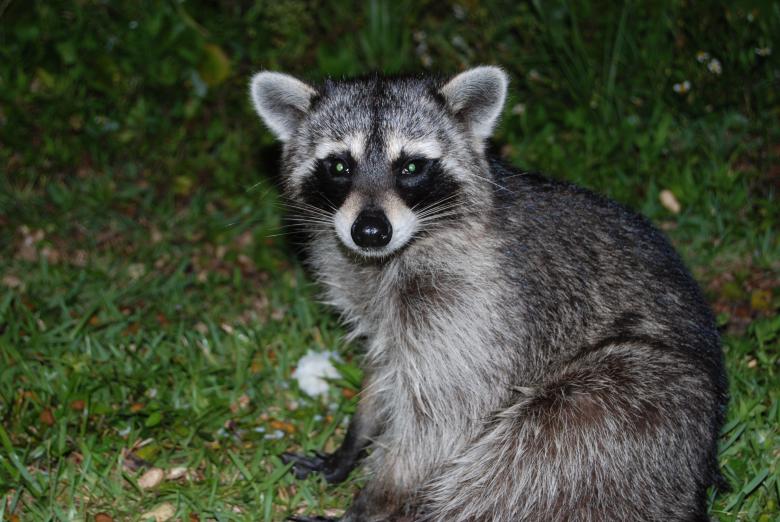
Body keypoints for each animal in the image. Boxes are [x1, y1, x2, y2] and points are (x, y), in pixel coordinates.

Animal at [249, 67, 728, 522]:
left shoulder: (476, 306)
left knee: (538, 451)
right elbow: (385, 370)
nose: (369, 231)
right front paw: (352, 442)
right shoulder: (374, 297)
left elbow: (442, 417)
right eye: (339, 166)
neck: (390, 256)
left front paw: (374, 500)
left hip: (639, 406)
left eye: (410, 167)